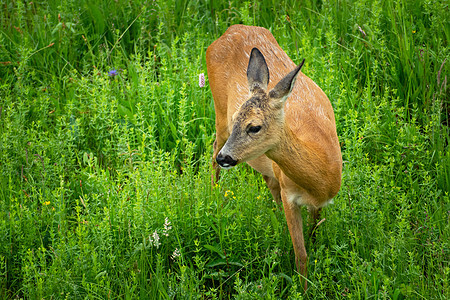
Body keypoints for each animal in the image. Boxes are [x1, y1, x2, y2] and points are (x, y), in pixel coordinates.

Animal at [207, 25, 342, 288]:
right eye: (236, 116)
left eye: (254, 127)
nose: (225, 158)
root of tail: (232, 28)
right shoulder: (290, 195)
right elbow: (301, 254)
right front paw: (303, 288)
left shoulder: (320, 203)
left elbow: (313, 234)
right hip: (219, 114)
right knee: (214, 148)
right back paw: (213, 199)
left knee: (267, 179)